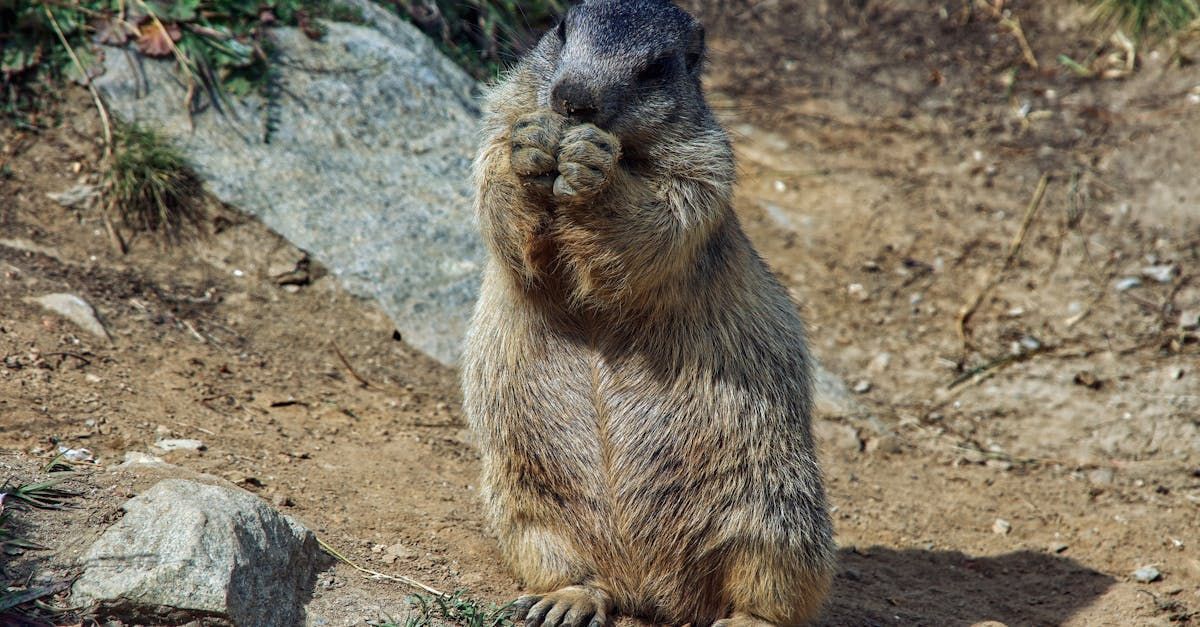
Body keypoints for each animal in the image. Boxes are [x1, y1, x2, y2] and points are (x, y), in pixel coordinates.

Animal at [461, 1, 836, 625]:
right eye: (560, 29)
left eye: (655, 68)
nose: (573, 98)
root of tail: (652, 590)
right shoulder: (496, 122)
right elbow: (494, 186)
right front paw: (531, 150)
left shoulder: (705, 165)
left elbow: (667, 213)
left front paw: (597, 168)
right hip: (521, 497)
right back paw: (565, 598)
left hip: (776, 506)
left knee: (776, 580)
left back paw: (747, 617)